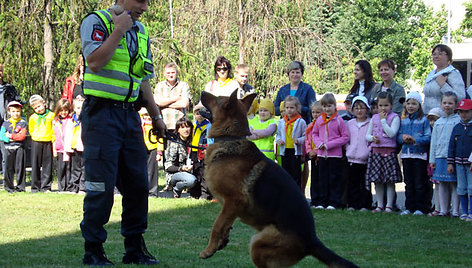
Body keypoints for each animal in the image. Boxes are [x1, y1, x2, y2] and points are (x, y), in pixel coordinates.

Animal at [199, 90, 358, 268]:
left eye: (217, 99)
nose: (202, 92)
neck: (230, 139)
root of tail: (312, 240)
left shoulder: (235, 200)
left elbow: (217, 225)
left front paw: (208, 250)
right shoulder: (230, 208)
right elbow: (225, 223)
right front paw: (222, 241)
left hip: (257, 244)